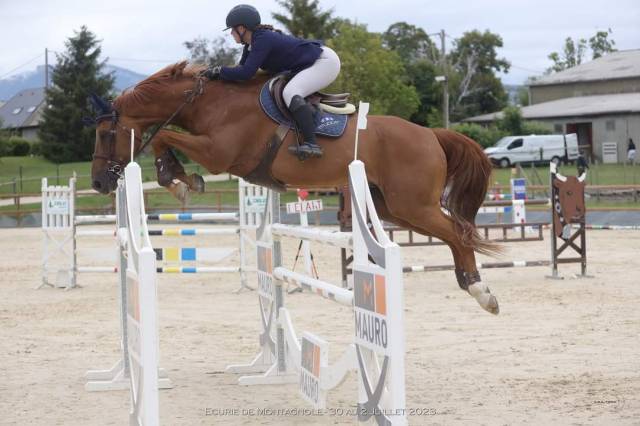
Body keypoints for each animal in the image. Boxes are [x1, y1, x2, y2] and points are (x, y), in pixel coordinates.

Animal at [90, 61, 500, 314]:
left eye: (107, 133)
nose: (98, 182)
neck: (210, 101)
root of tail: (432, 134)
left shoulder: (218, 154)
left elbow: (165, 137)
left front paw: (179, 181)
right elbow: (165, 138)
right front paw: (180, 179)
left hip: (414, 205)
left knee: (459, 233)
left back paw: (482, 293)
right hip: (394, 207)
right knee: (452, 234)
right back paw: (470, 283)